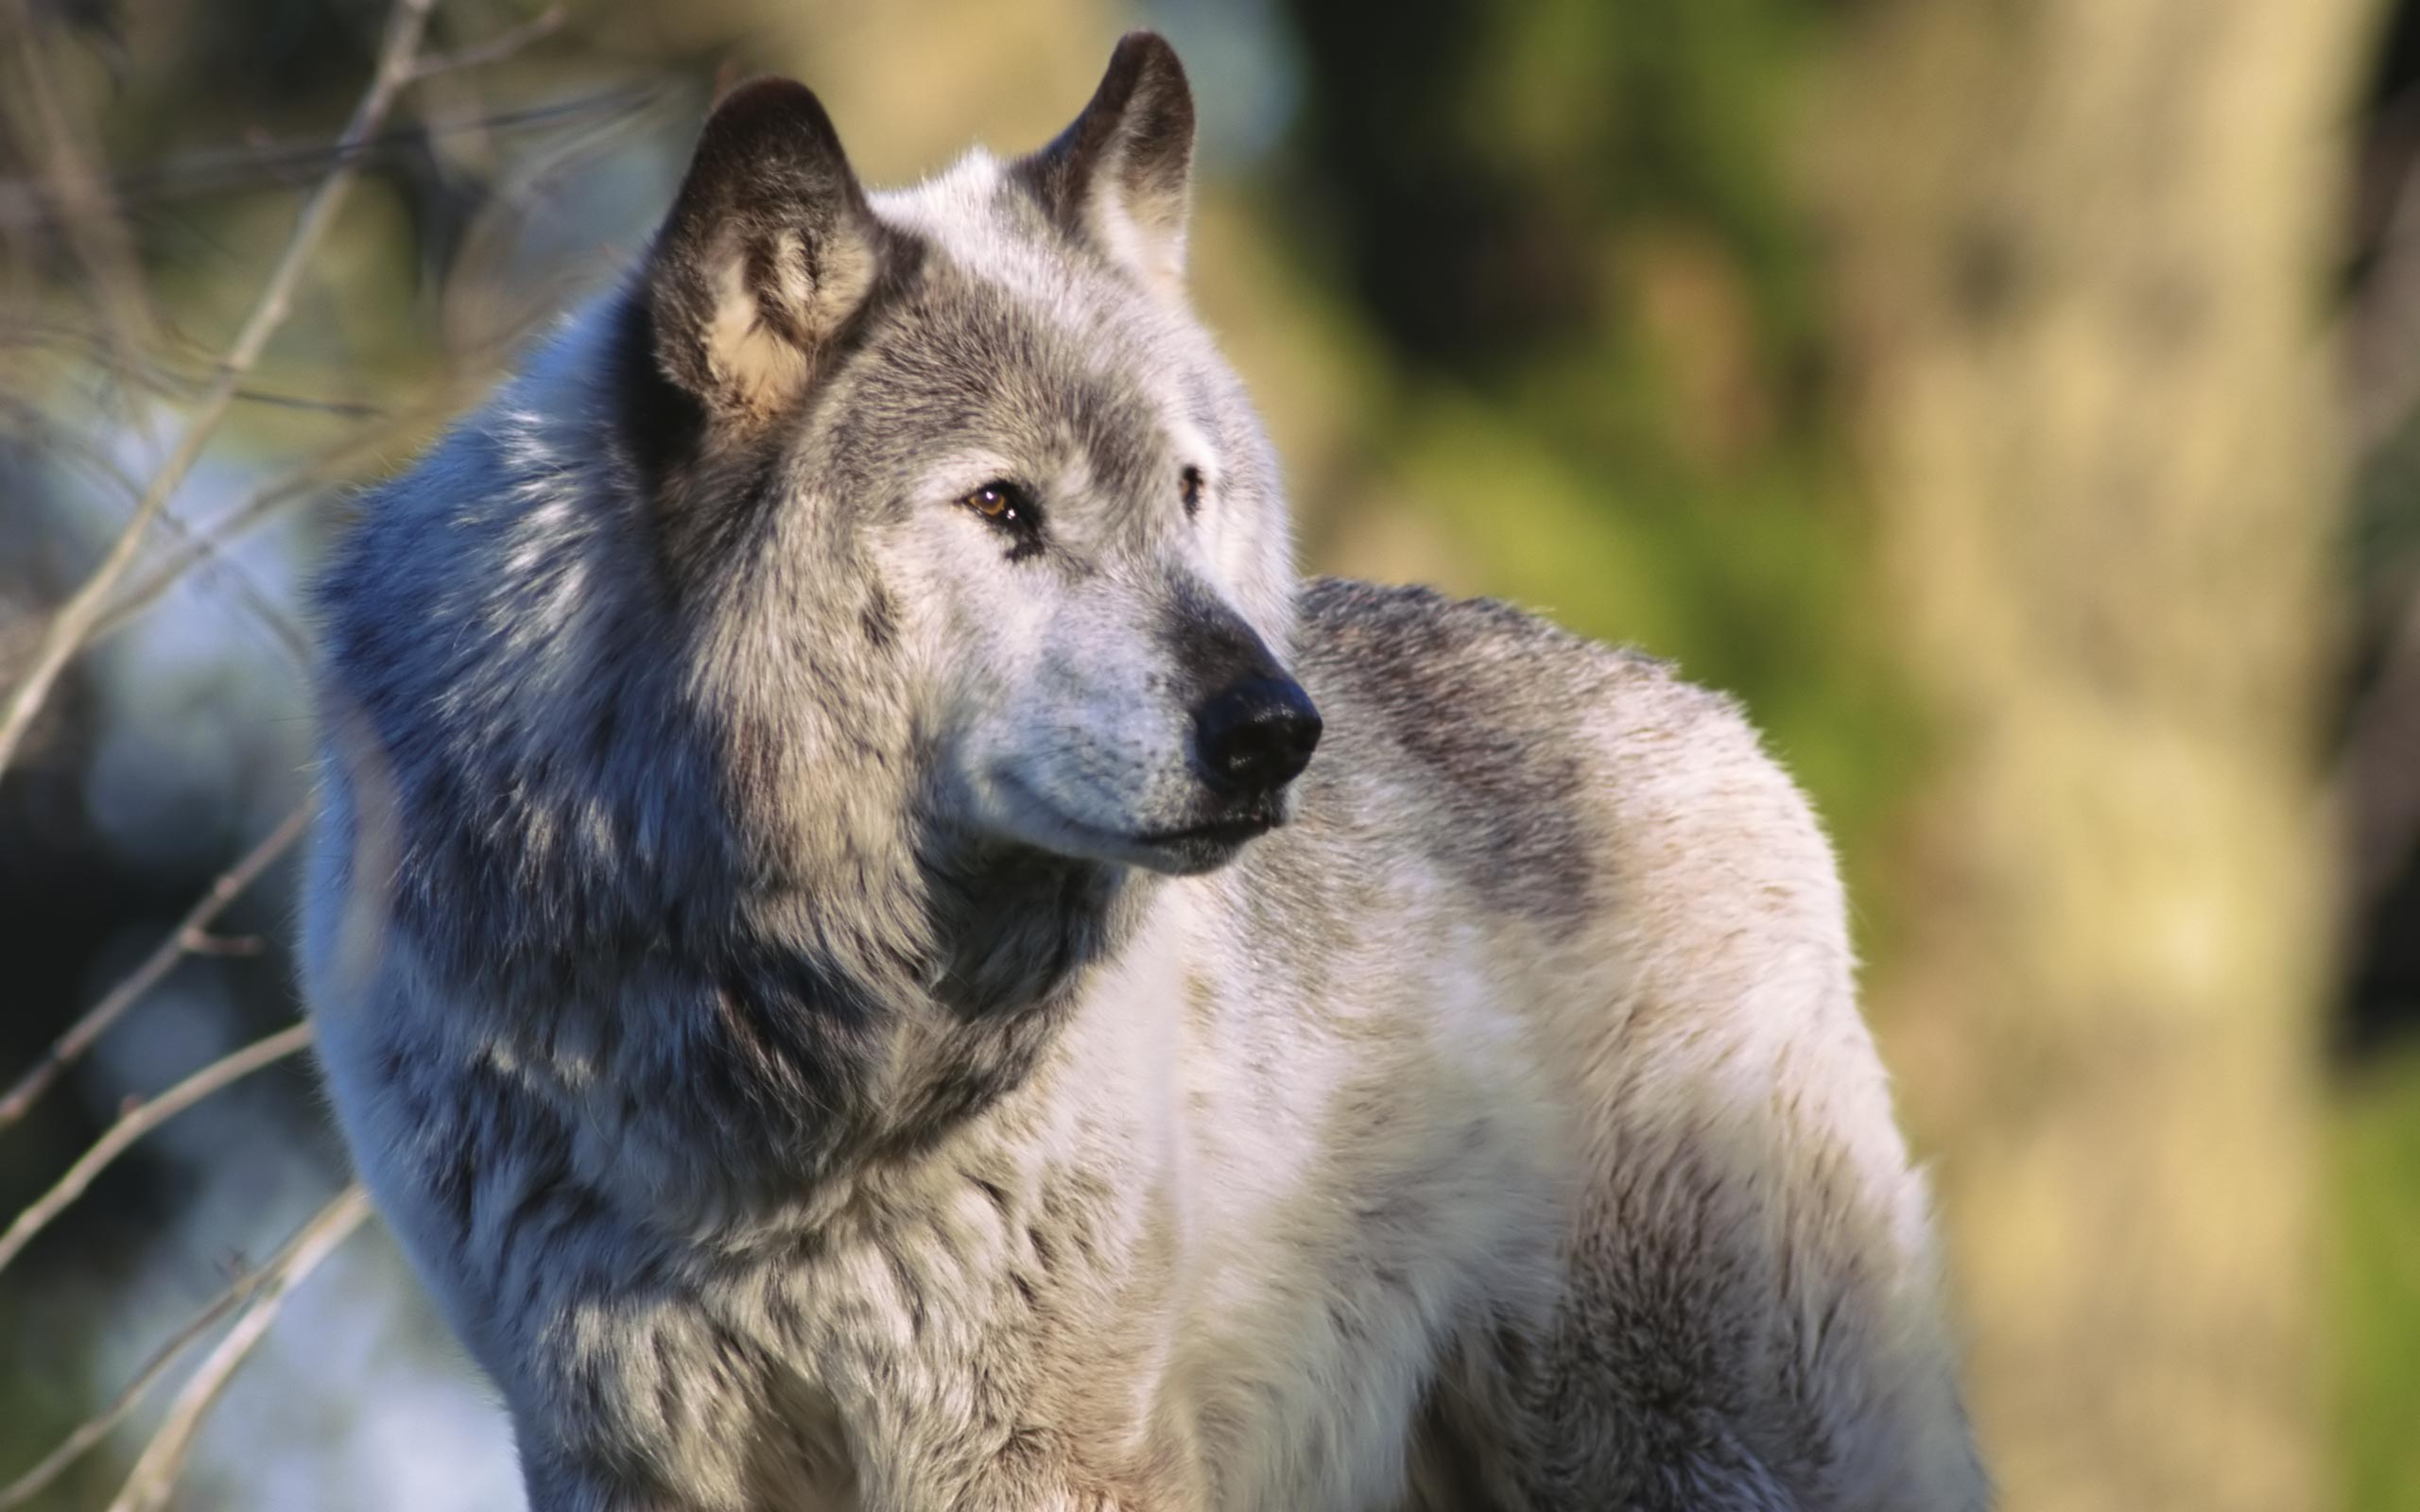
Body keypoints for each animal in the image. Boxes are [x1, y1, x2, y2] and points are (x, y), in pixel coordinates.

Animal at [302, 35, 1994, 1509]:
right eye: (1000, 506)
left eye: (1189, 492)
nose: (1276, 731)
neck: (771, 1055)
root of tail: (1725, 726)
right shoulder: (616, 1449)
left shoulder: (1036, 1449)